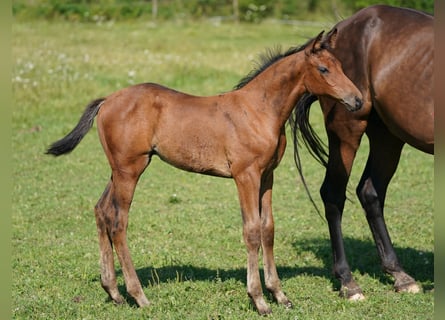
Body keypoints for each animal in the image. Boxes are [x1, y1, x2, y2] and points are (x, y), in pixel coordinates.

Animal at [46, 31, 362, 316]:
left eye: (341, 66)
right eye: (323, 69)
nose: (357, 100)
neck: (259, 110)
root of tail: (107, 100)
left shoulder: (267, 176)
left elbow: (268, 229)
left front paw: (280, 295)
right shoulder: (245, 175)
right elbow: (252, 231)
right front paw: (259, 300)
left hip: (120, 169)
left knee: (101, 210)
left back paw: (113, 292)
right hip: (129, 169)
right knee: (118, 222)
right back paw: (139, 296)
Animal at [290, 4, 432, 300]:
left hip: (387, 136)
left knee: (370, 192)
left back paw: (400, 275)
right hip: (347, 131)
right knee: (333, 194)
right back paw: (348, 281)